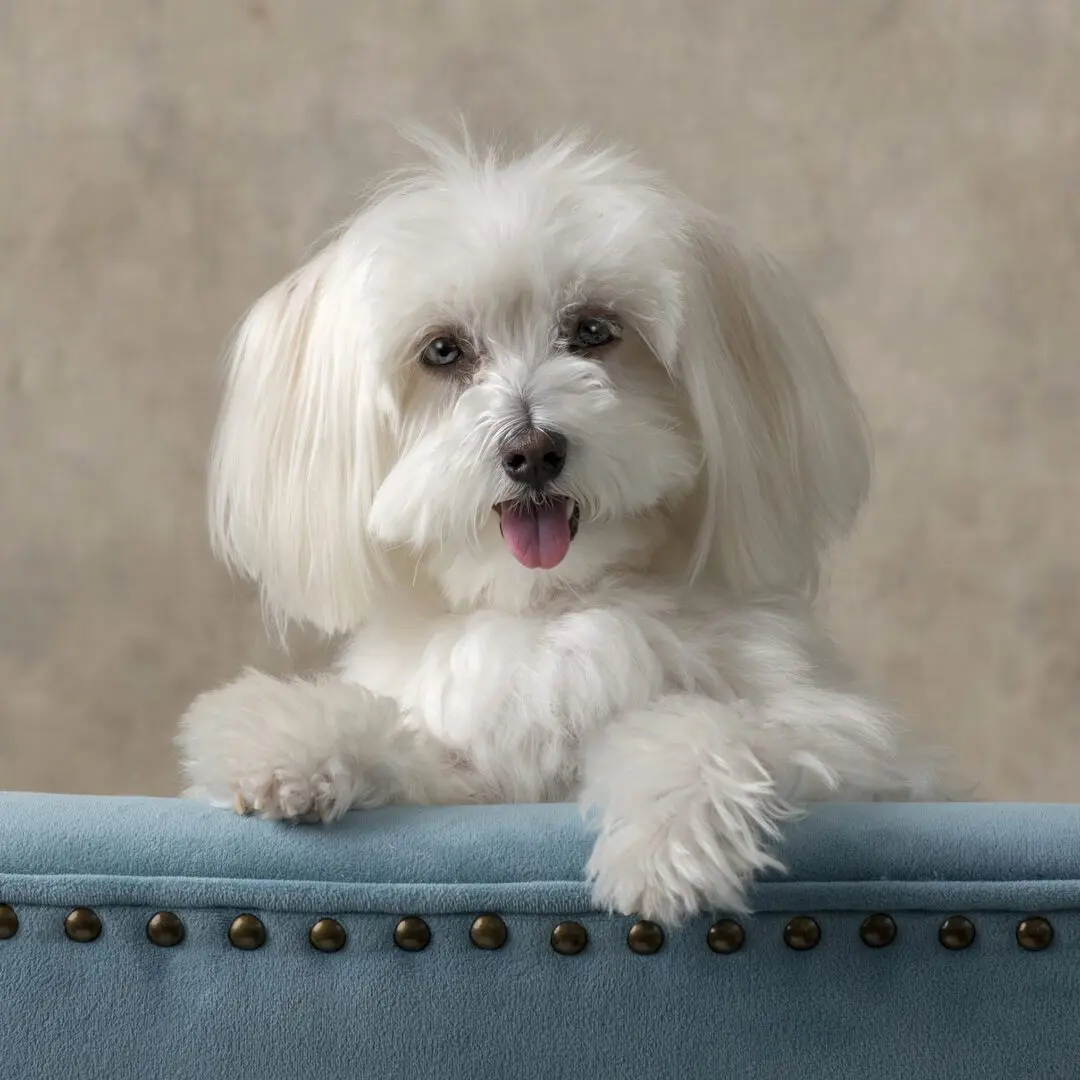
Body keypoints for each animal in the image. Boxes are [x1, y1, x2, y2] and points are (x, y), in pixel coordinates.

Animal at [174, 128, 928, 920]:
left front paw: (668, 840)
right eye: (443, 350)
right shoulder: (477, 779)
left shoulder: (863, 752)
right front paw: (284, 740)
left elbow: (713, 722)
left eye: (593, 330)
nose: (533, 450)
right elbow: (408, 744)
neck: (550, 607)